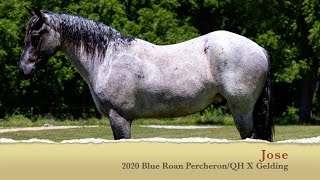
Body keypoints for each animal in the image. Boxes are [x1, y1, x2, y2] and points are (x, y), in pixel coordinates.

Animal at [18, 7, 274, 141]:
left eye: (35, 36)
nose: (23, 69)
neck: (107, 58)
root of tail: (260, 49)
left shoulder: (119, 117)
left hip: (241, 110)